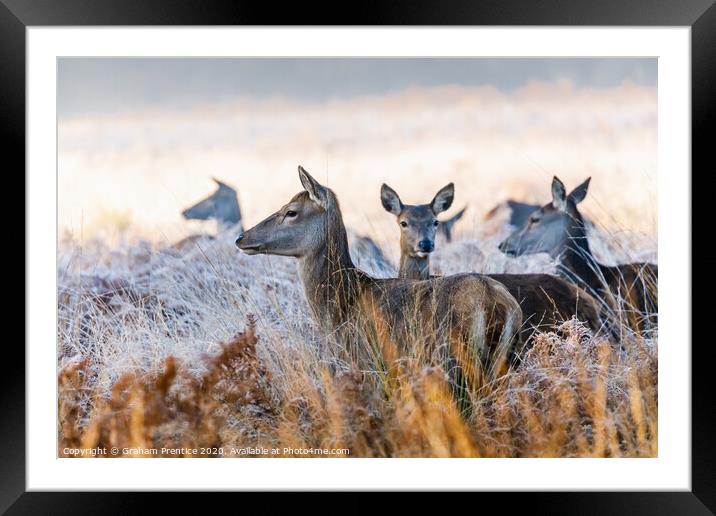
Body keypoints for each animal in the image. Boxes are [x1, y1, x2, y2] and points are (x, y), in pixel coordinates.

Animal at [238, 167, 524, 394]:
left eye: (291, 211)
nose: (242, 237)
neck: (339, 308)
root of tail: (498, 305)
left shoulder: (367, 365)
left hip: (453, 362)